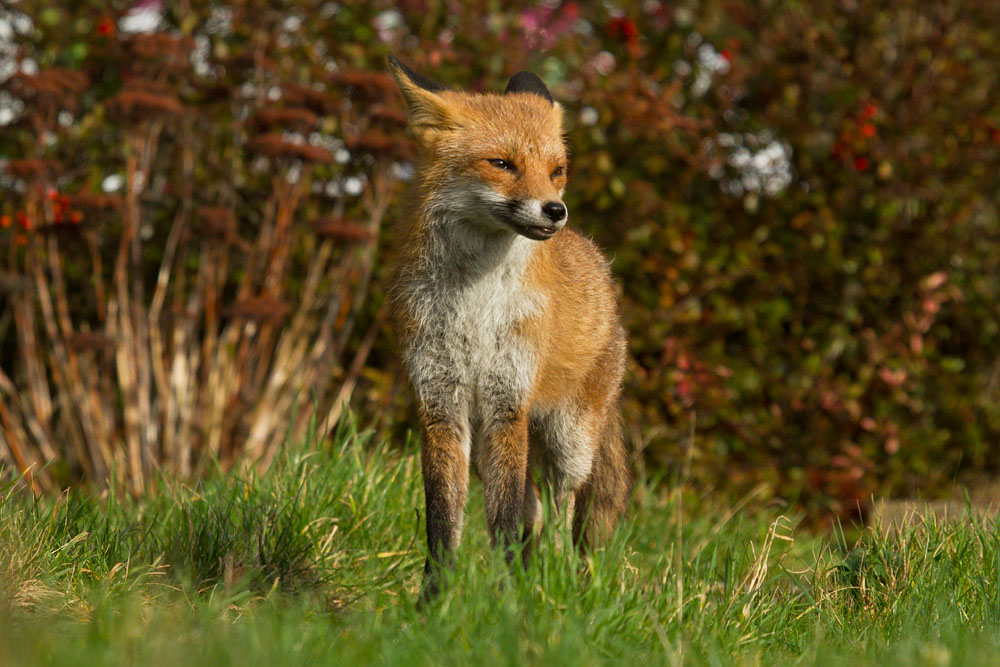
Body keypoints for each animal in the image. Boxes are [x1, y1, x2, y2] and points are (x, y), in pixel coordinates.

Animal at [386, 56, 630, 599]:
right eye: (501, 164)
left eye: (557, 171)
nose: (555, 210)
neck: (475, 308)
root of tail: (602, 266)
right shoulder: (442, 404)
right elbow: (444, 519)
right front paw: (433, 600)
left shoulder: (507, 404)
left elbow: (503, 517)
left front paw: (509, 603)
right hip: (490, 444)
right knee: (533, 507)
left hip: (569, 438)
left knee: (561, 506)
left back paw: (558, 578)